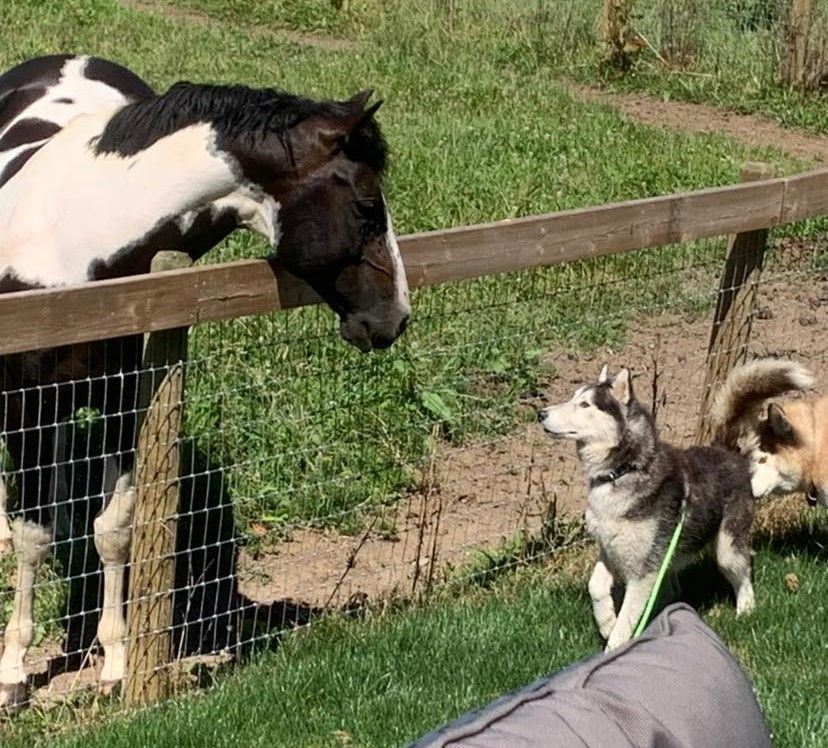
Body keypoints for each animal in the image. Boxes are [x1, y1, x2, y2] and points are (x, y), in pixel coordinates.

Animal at [0, 54, 410, 708]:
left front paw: (116, 662)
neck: (72, 250)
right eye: (368, 206)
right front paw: (14, 671)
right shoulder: (28, 406)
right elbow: (33, 536)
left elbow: (114, 531)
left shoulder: (123, 401)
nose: (395, 316)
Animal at [536, 366, 756, 648]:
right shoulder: (609, 550)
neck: (621, 471)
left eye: (585, 404)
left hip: (727, 548)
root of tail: (727, 451)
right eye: (572, 397)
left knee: (743, 572)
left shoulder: (643, 572)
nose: (541, 413)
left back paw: (746, 609)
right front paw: (606, 622)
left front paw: (614, 648)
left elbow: (626, 621)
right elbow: (595, 586)